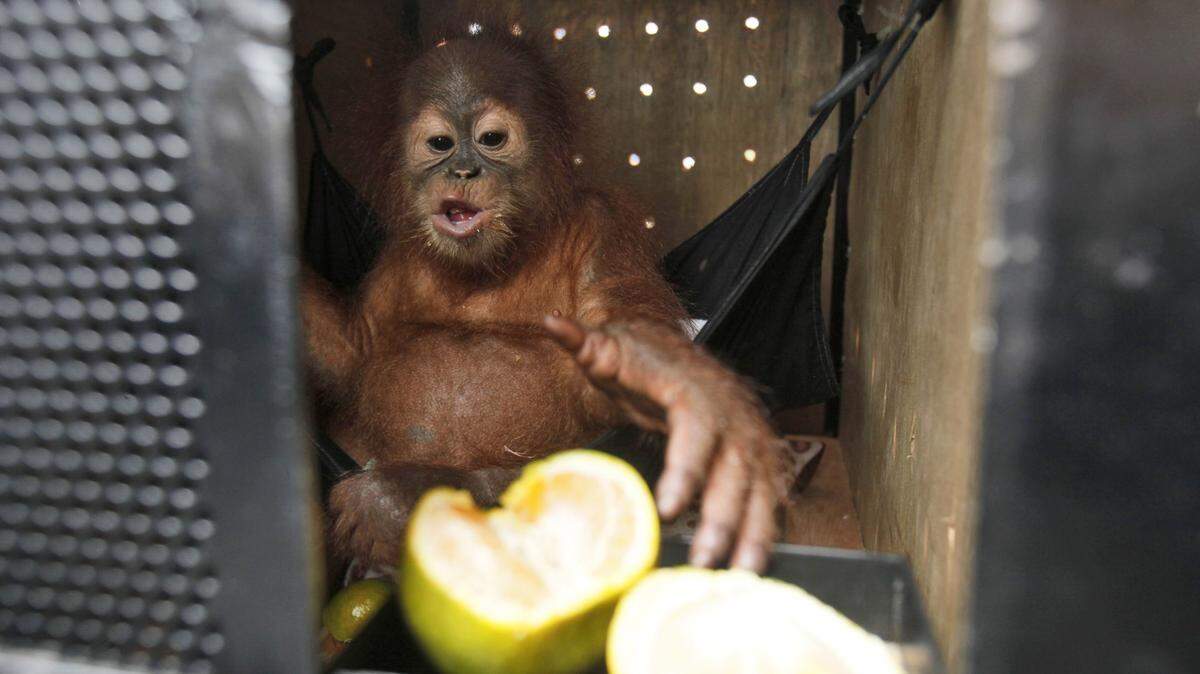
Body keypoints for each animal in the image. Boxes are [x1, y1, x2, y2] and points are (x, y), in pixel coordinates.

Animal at [301, 27, 791, 575]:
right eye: (440, 144)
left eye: (492, 139)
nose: (464, 170)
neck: (492, 263)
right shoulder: (395, 260)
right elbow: (350, 352)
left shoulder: (604, 230)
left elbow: (626, 336)